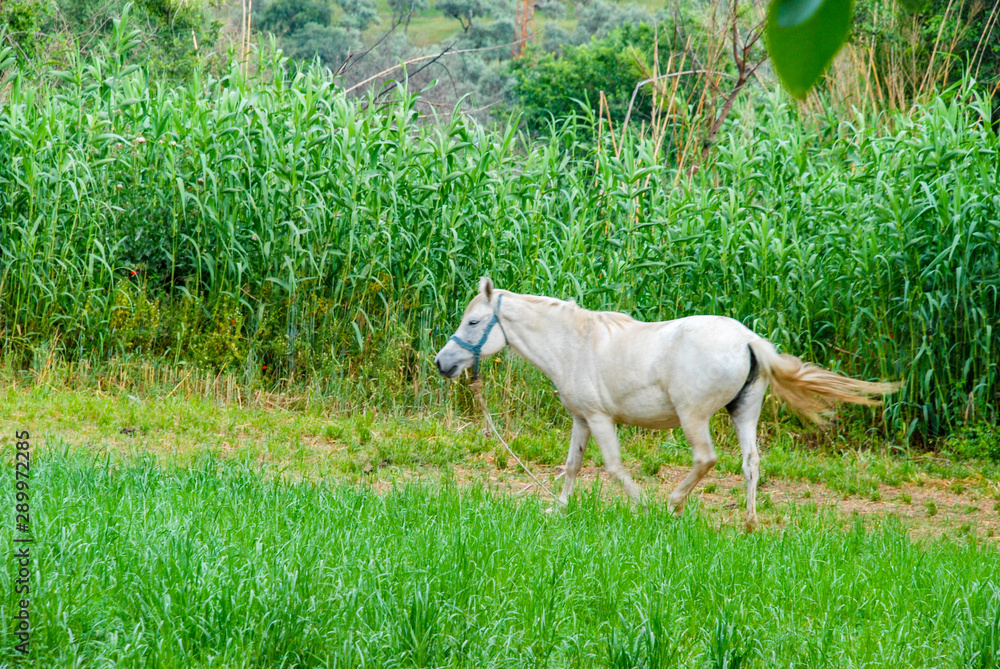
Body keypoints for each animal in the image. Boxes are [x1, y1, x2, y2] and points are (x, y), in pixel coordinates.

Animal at [434, 278, 900, 527]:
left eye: (473, 321)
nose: (442, 362)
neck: (575, 344)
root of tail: (748, 339)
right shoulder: (581, 419)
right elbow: (573, 465)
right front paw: (558, 508)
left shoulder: (601, 419)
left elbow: (612, 466)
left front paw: (642, 506)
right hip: (745, 412)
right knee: (751, 463)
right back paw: (749, 523)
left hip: (694, 416)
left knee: (706, 458)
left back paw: (673, 504)